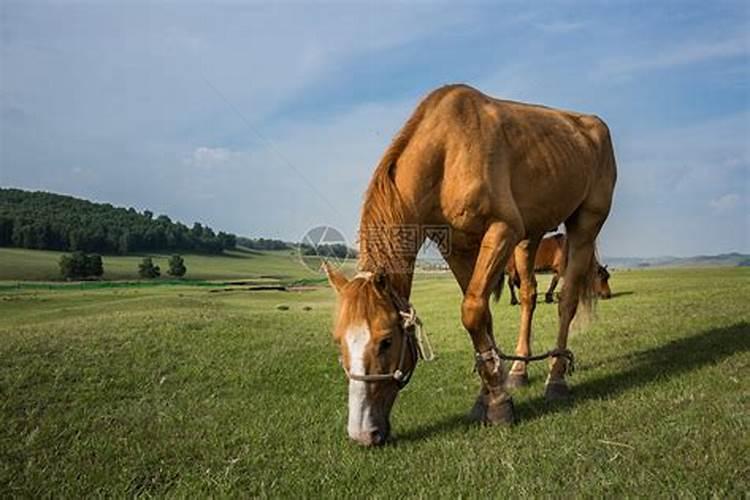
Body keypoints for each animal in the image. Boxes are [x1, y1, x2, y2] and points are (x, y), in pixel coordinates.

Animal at [326, 84, 620, 448]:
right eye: (338, 341)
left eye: (386, 341)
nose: (362, 432)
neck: (447, 153)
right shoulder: (457, 247)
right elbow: (483, 318)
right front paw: (489, 393)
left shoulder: (502, 229)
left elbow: (472, 312)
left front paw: (499, 405)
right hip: (530, 238)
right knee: (529, 296)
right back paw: (519, 372)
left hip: (585, 224)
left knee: (566, 301)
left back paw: (556, 378)